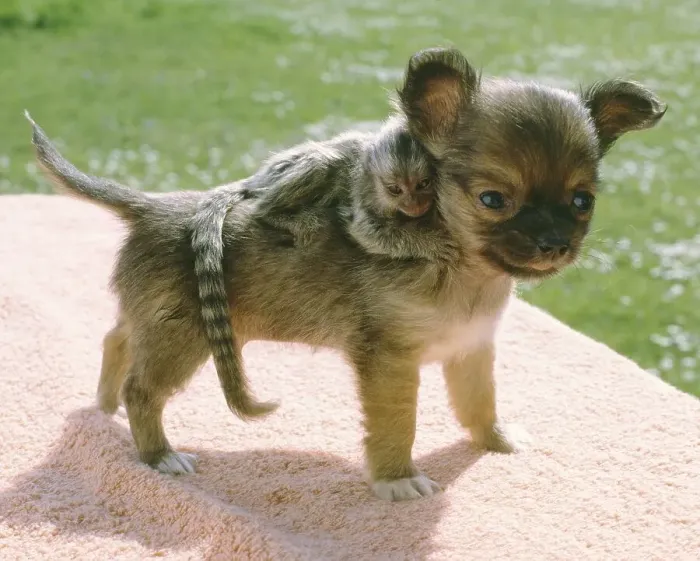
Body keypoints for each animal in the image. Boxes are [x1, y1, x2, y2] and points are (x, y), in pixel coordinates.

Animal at [26, 46, 666, 502]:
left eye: (582, 202)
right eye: (492, 200)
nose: (555, 244)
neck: (461, 268)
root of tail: (152, 206)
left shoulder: (471, 349)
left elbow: (478, 404)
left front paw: (496, 440)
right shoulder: (390, 362)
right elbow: (397, 423)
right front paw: (397, 478)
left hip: (154, 322)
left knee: (116, 339)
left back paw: (104, 408)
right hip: (182, 339)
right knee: (144, 388)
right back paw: (158, 454)